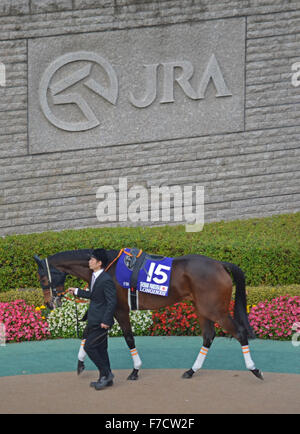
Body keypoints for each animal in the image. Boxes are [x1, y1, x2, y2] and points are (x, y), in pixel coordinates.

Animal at [34, 249, 262, 382]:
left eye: (43, 278)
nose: (50, 303)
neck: (107, 267)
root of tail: (220, 264)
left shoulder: (119, 309)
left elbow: (128, 338)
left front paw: (135, 370)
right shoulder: (107, 309)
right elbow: (87, 333)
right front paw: (81, 364)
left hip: (215, 310)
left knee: (239, 333)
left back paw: (254, 369)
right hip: (202, 309)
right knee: (208, 336)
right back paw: (191, 371)